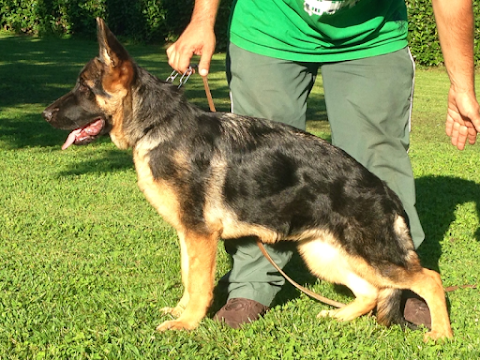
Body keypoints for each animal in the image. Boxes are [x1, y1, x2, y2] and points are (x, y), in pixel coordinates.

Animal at [43, 18, 452, 342]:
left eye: (84, 89)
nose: (46, 114)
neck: (156, 124)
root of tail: (387, 191)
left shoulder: (201, 235)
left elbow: (200, 285)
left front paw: (188, 324)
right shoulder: (188, 235)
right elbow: (188, 276)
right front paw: (180, 312)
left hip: (372, 255)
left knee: (428, 279)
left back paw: (441, 335)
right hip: (325, 254)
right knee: (369, 293)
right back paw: (338, 316)